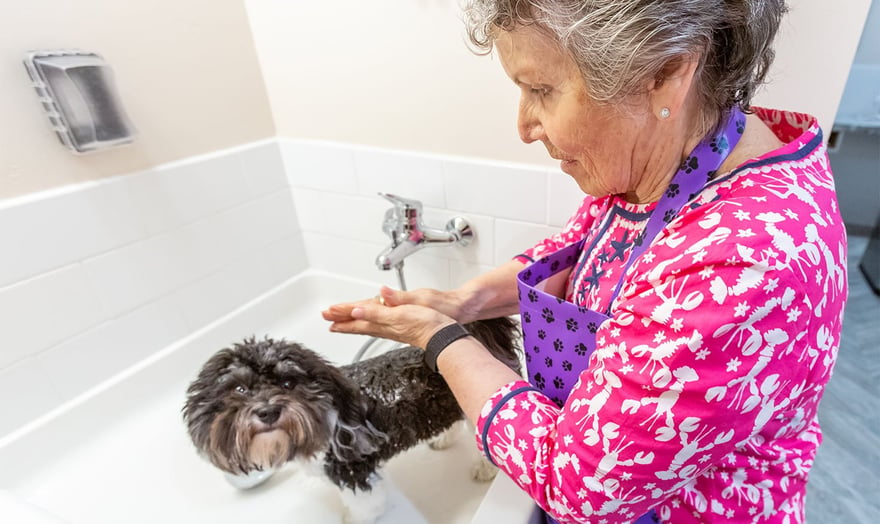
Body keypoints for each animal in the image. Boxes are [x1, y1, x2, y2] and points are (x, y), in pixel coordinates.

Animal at [181, 318, 520, 520]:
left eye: (289, 383)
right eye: (239, 388)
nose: (267, 411)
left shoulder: (354, 470)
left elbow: (363, 507)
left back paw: (485, 469)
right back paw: (443, 438)